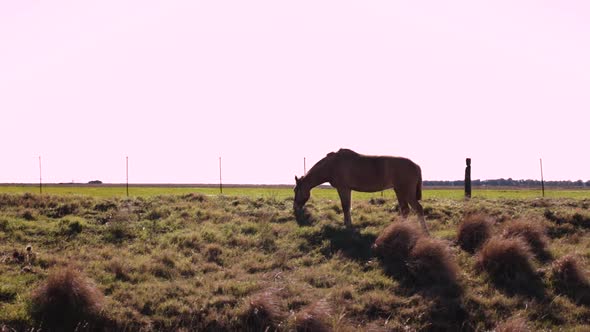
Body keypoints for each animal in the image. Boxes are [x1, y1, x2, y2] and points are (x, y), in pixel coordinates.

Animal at [296, 148, 430, 233]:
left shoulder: (343, 188)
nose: (295, 208)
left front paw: (347, 226)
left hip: (406, 192)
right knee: (405, 209)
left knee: (418, 209)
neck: (332, 165)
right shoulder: (347, 189)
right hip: (399, 190)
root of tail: (416, 165)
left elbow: (345, 206)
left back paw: (424, 232)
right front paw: (348, 224)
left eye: (296, 190)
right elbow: (347, 207)